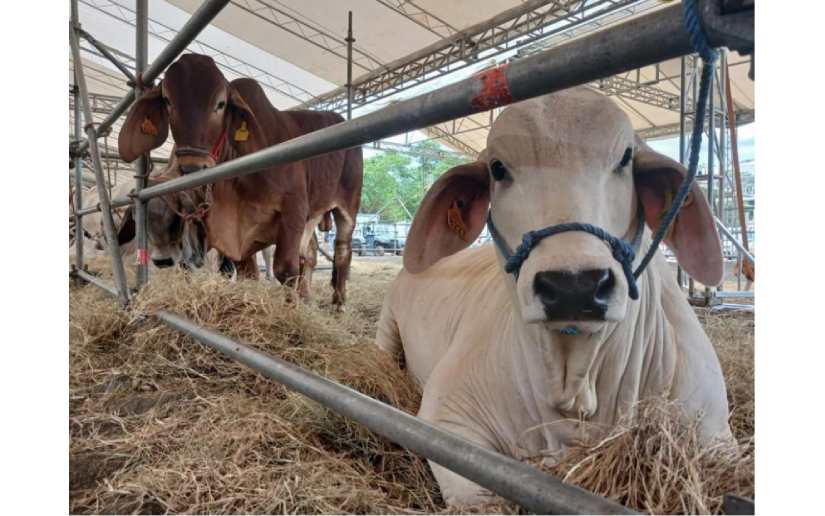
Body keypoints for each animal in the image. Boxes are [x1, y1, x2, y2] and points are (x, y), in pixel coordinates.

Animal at [116, 54, 360, 304]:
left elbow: (285, 270)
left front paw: (293, 308)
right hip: (313, 215)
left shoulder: (294, 208)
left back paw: (338, 303)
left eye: (220, 104)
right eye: (167, 100)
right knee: (309, 253)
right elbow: (246, 272)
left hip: (347, 206)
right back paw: (308, 297)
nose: (192, 167)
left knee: (342, 250)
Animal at [376, 87, 732, 504]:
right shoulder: (445, 419)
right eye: (498, 168)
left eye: (625, 158)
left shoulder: (717, 435)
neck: (575, 390)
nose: (573, 286)